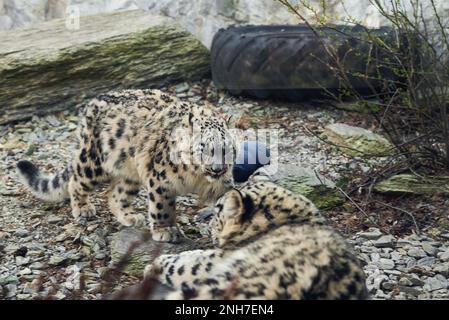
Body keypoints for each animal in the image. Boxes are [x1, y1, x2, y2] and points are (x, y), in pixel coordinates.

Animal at [16, 89, 234, 241]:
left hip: (130, 172)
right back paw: (83, 208)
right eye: (203, 148)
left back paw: (130, 216)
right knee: (76, 180)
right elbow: (162, 207)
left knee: (115, 194)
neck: (197, 177)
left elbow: (229, 198)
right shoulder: (160, 180)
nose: (217, 169)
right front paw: (166, 230)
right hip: (94, 163)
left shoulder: (222, 184)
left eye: (226, 148)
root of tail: (91, 105)